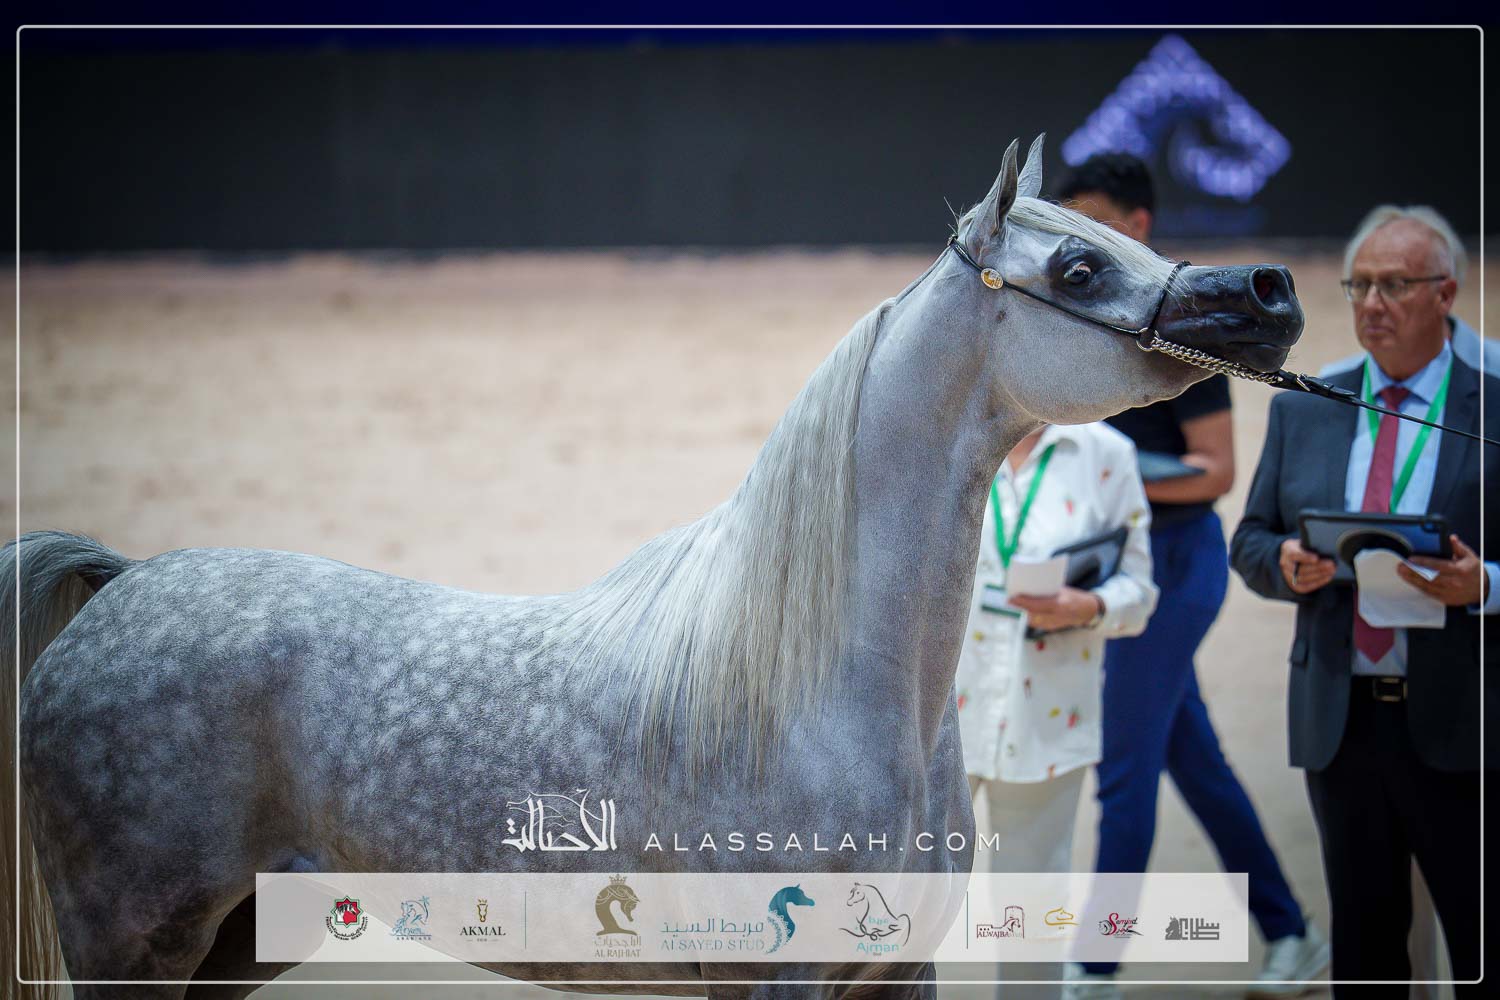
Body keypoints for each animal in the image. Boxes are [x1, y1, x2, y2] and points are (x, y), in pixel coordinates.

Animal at [5, 135, 1304, 999]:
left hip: (234, 941)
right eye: (1078, 268)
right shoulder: (772, 982)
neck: (825, 687)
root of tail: (123, 585)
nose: (1270, 289)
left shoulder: (898, 972)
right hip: (130, 944)